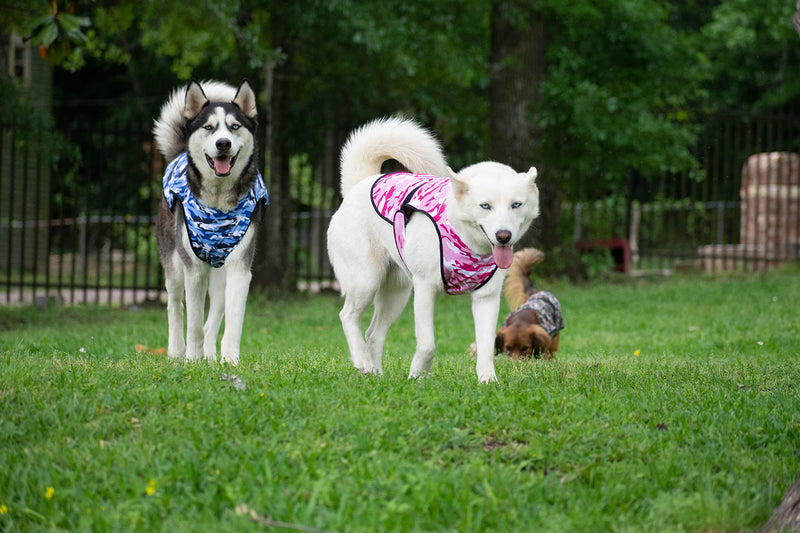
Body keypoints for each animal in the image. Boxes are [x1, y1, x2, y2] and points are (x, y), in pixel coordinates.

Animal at [328, 117, 540, 382]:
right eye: (485, 206)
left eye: (516, 204)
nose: (504, 236)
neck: (466, 241)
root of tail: (361, 184)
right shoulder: (425, 288)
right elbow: (427, 344)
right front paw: (418, 375)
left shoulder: (487, 297)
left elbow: (486, 345)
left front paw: (487, 380)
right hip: (366, 281)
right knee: (348, 317)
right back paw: (362, 361)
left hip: (396, 294)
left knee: (373, 334)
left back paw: (376, 375)